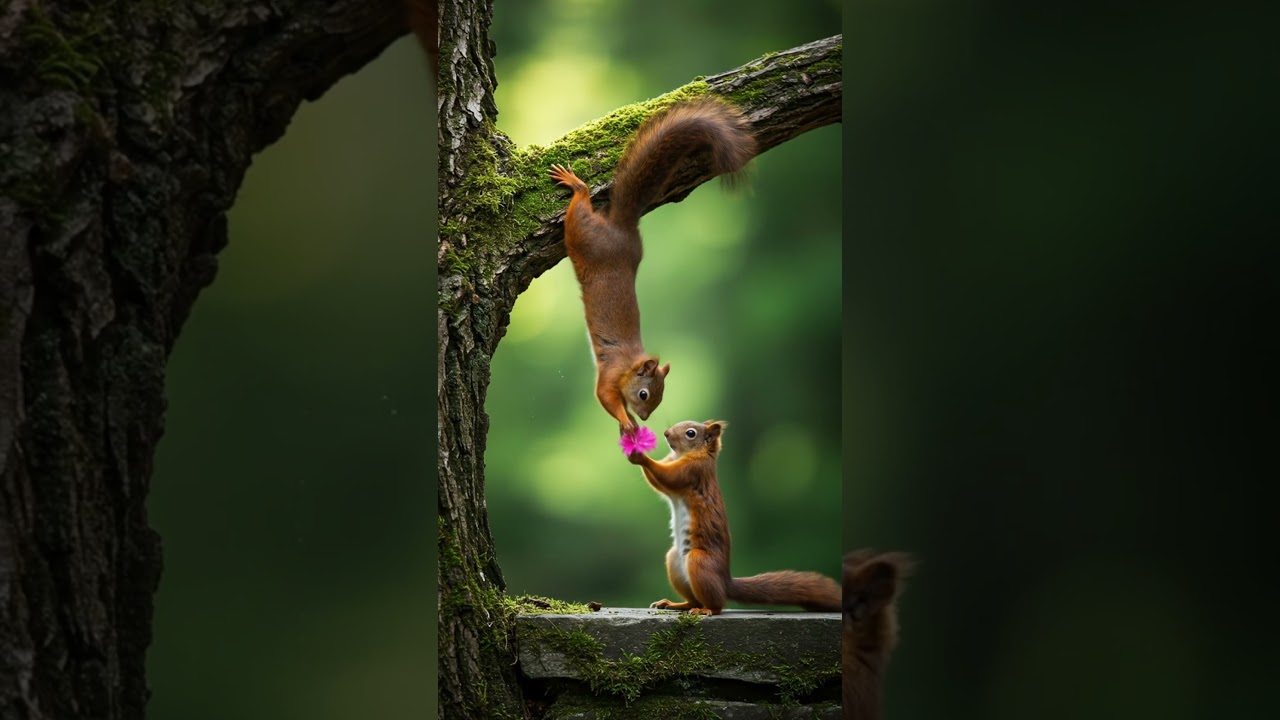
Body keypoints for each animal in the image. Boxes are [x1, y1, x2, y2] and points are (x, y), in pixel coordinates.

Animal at [549, 98, 756, 435]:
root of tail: (623, 227)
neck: (629, 366)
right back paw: (576, 184)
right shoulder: (609, 377)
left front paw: (630, 422)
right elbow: (605, 398)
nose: (646, 418)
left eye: (660, 398)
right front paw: (627, 420)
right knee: (580, 201)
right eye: (645, 393)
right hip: (582, 234)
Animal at [626, 420, 840, 615]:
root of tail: (725, 582)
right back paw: (674, 604)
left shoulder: (694, 470)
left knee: (717, 604)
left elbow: (668, 476)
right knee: (693, 600)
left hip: (699, 562)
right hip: (674, 561)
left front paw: (640, 455)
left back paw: (706, 610)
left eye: (691, 433)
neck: (688, 454)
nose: (666, 433)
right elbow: (659, 482)